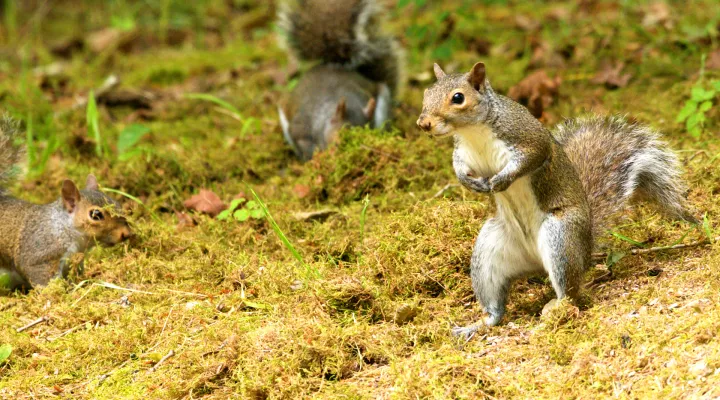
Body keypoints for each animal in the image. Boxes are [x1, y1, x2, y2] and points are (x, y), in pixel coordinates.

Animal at [0, 115, 134, 290]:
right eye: (96, 215)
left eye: (117, 203)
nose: (126, 233)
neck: (63, 227)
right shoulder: (40, 254)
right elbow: (42, 277)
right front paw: (57, 292)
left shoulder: (74, 258)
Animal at [416, 62, 696, 338]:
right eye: (426, 93)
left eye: (458, 98)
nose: (424, 123)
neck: (473, 132)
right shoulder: (462, 152)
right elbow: (459, 169)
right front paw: (472, 183)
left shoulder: (527, 137)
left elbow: (531, 157)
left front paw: (501, 181)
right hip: (488, 252)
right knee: (496, 307)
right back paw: (478, 325)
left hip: (561, 236)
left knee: (570, 294)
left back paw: (554, 313)